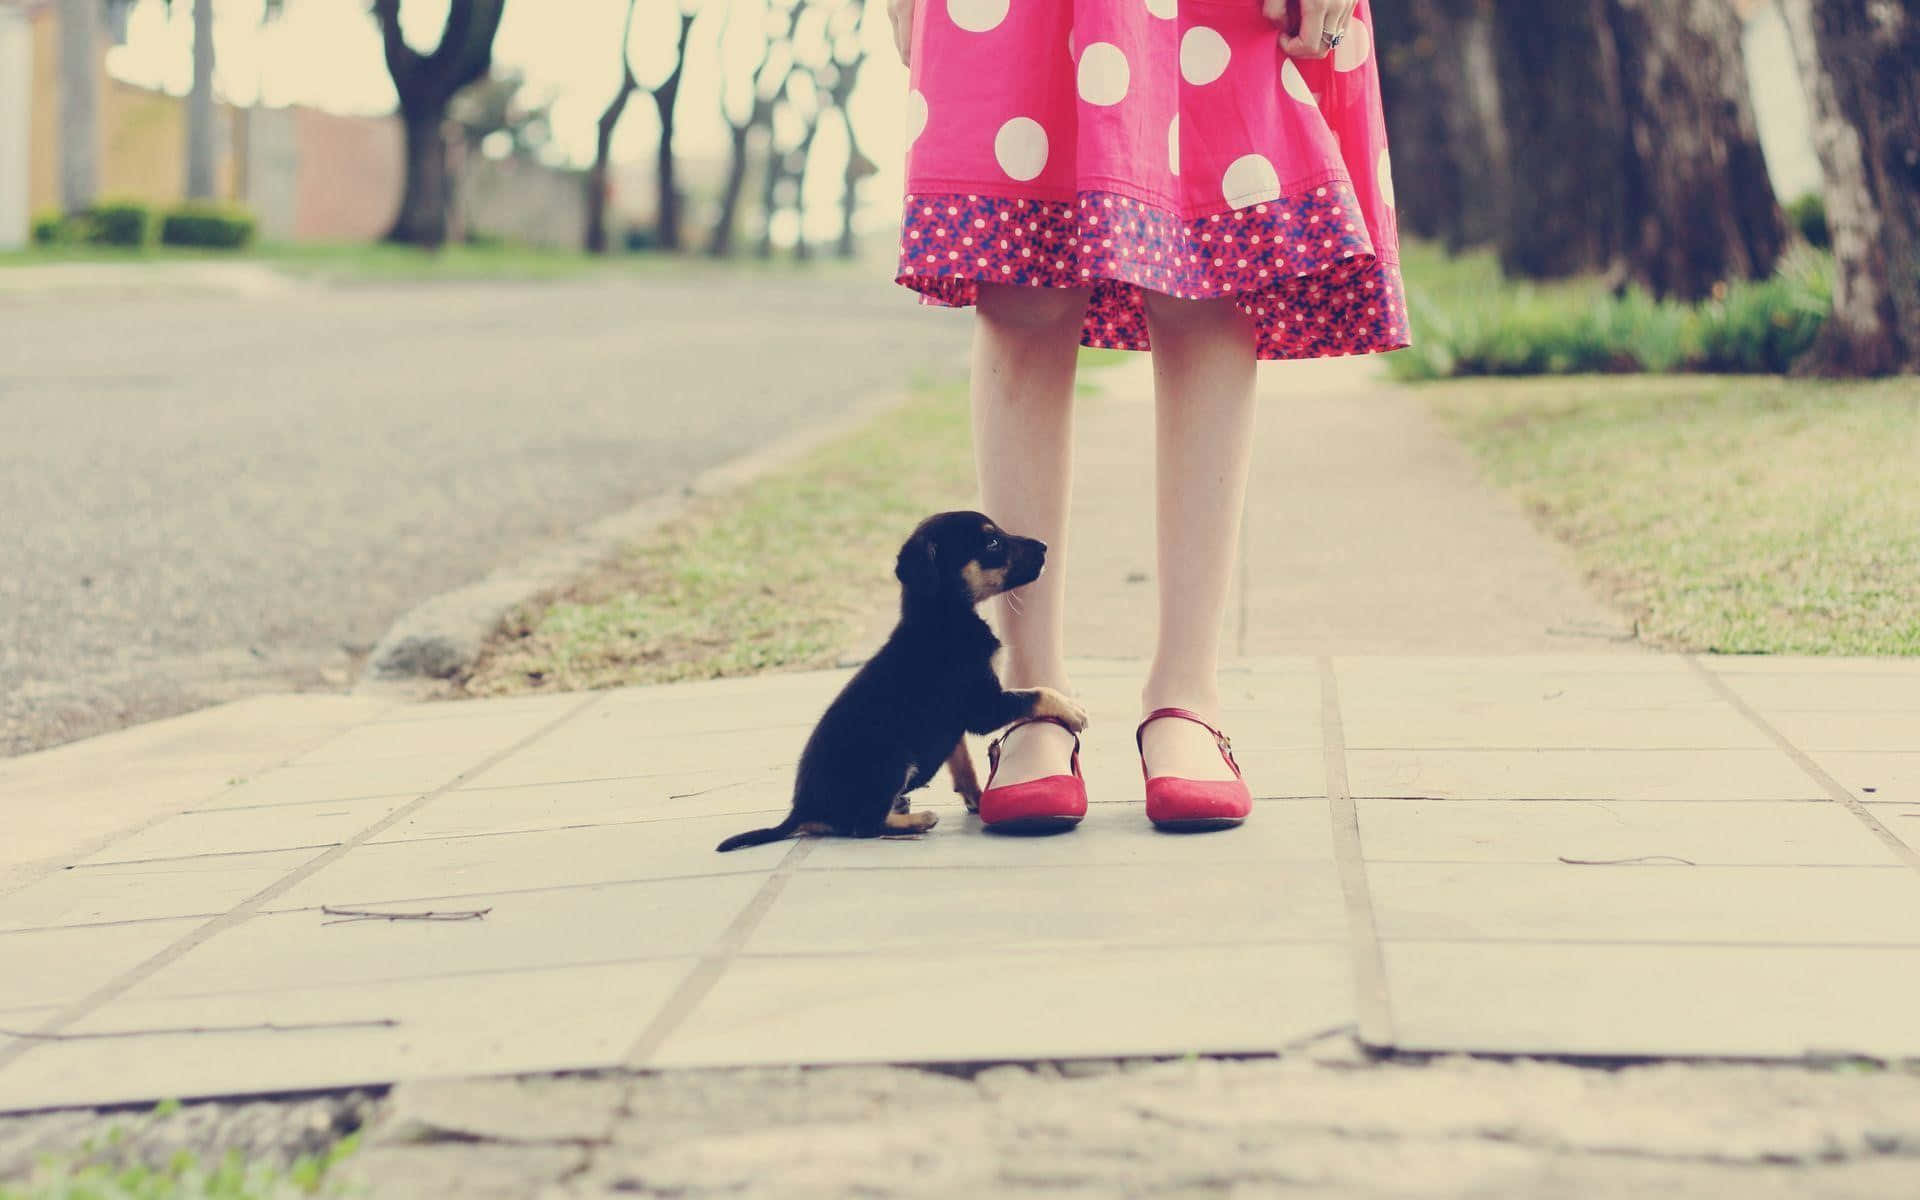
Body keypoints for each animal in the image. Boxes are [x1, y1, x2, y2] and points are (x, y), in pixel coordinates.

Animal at [718, 506, 1090, 852]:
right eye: (992, 542)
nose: (1044, 546)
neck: (941, 619)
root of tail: (801, 811)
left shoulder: (955, 721)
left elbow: (962, 762)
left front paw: (976, 797)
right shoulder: (982, 706)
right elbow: (1036, 693)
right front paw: (1072, 710)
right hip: (892, 760)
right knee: (864, 826)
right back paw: (918, 820)